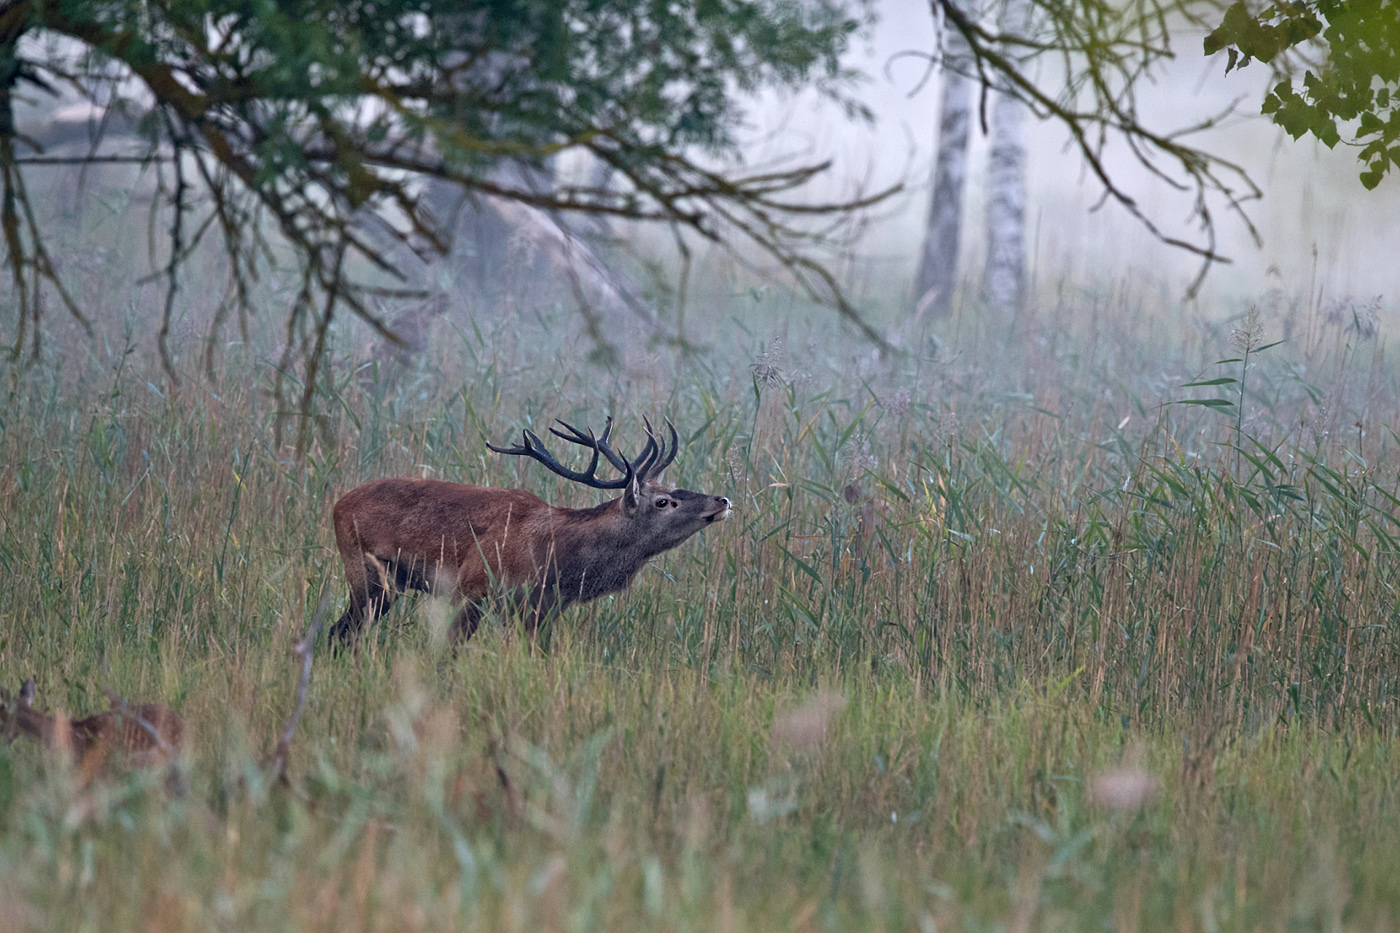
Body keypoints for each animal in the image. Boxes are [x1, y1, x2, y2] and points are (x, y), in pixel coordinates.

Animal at [329, 417, 733, 644]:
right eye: (664, 502)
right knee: (341, 632)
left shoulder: (545, 609)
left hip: (387, 586)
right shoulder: (473, 588)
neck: (558, 560)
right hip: (364, 572)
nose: (723, 500)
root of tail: (336, 504)